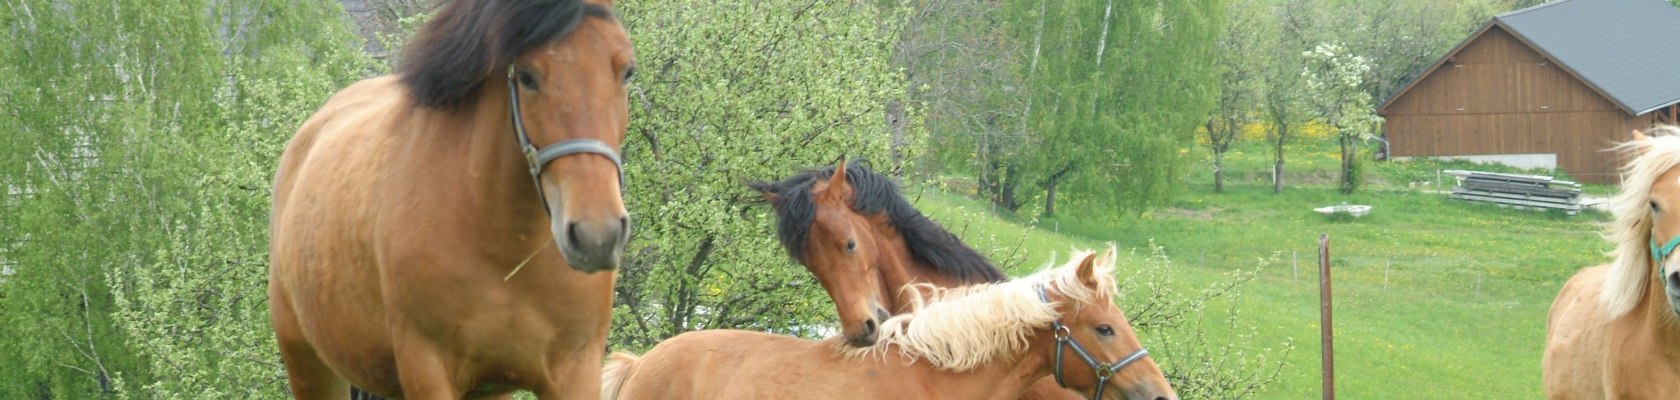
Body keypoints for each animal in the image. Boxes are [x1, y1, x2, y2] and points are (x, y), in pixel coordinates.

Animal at [268, 1, 635, 398]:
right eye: (527, 76)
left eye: (626, 71)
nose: (596, 234)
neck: (504, 249)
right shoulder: (427, 370)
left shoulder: (574, 371)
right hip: (309, 365)